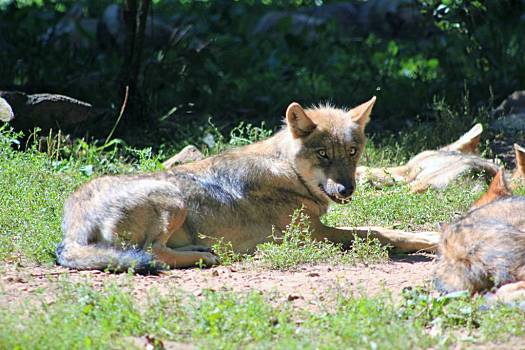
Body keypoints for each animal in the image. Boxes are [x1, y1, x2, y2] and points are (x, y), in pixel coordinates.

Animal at [55, 97, 438, 272]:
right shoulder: (314, 234)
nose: (347, 190)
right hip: (174, 201)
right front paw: (428, 241)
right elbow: (379, 232)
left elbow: (379, 227)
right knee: (152, 253)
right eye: (323, 155)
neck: (290, 173)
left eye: (353, 152)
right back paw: (206, 256)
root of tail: (73, 223)